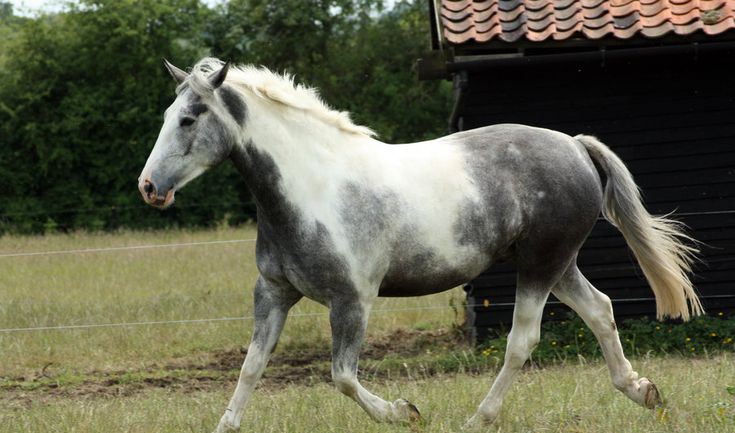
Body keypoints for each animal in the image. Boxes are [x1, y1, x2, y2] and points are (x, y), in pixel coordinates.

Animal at [138, 58, 700, 432]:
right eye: (166, 114)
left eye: (189, 118)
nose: (149, 187)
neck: (311, 188)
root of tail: (577, 146)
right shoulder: (273, 293)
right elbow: (252, 366)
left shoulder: (352, 301)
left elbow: (342, 377)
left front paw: (405, 412)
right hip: (558, 264)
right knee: (601, 310)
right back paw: (644, 392)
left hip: (541, 265)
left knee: (522, 341)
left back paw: (480, 419)